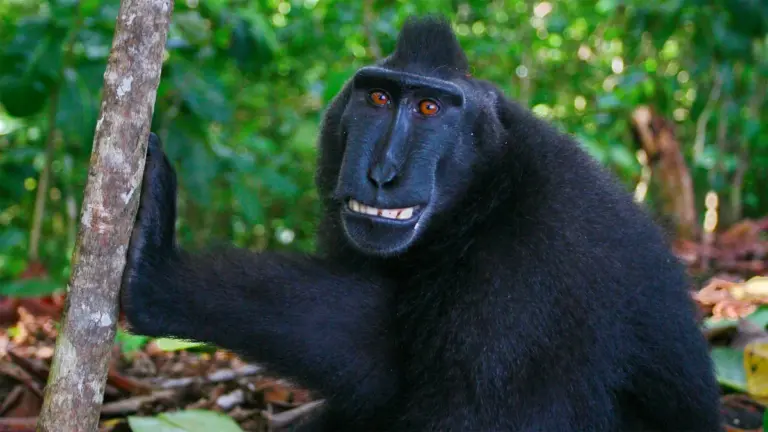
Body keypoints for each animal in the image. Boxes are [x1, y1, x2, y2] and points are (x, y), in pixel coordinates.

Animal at [121, 15, 722, 431]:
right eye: (378, 97)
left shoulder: (528, 286)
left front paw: (154, 267)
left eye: (430, 109)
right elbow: (381, 367)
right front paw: (162, 279)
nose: (381, 173)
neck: (489, 196)